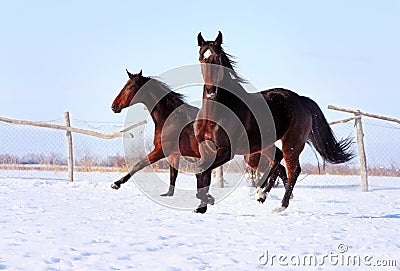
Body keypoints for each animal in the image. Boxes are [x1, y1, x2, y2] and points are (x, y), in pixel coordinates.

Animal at [108, 69, 288, 199]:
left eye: (129, 87)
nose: (114, 106)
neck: (171, 118)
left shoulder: (161, 150)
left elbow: (139, 164)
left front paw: (116, 184)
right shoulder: (174, 154)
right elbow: (173, 174)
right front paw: (168, 194)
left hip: (253, 156)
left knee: (278, 166)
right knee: (280, 167)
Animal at [194, 32, 354, 215]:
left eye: (218, 57)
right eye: (201, 58)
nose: (211, 91)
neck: (216, 111)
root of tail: (301, 100)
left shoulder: (227, 151)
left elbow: (203, 172)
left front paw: (207, 200)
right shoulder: (205, 149)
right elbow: (202, 173)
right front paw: (202, 206)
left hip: (291, 144)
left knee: (293, 170)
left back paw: (279, 204)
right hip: (256, 151)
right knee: (277, 161)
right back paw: (262, 194)